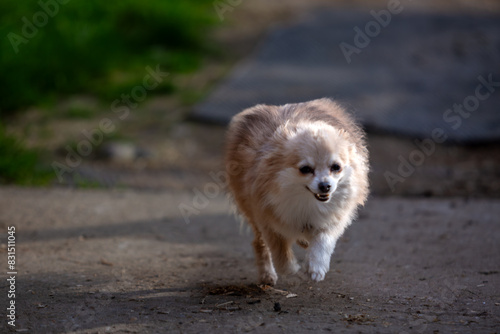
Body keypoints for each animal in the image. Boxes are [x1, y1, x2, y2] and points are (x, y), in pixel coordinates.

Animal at [225, 97, 370, 284]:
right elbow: (280, 254)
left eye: (336, 167)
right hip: (251, 211)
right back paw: (267, 274)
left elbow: (323, 241)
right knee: (260, 244)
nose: (325, 185)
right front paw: (292, 268)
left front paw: (316, 267)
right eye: (305, 169)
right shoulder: (268, 218)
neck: (306, 201)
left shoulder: (332, 218)